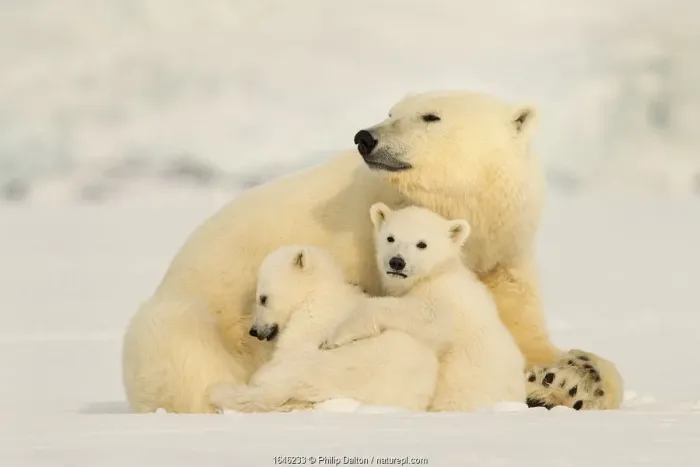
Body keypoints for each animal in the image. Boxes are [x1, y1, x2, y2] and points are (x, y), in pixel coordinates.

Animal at [322, 203, 527, 411]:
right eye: (390, 237)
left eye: (422, 244)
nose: (397, 262)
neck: (435, 274)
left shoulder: (447, 304)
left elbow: (422, 317)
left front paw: (335, 338)